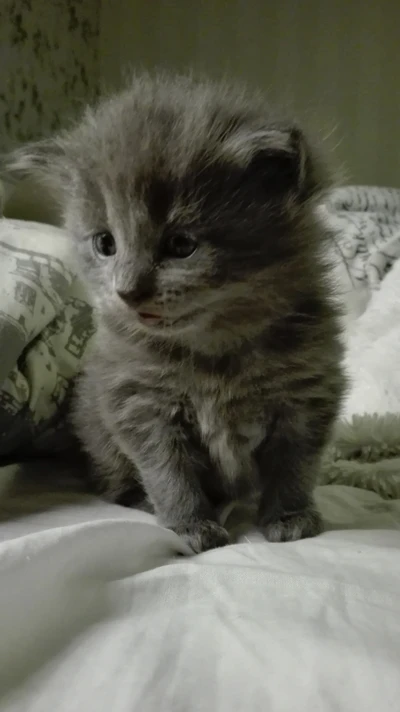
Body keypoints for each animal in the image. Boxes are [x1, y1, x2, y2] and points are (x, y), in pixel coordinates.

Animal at [6, 71, 344, 552]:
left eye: (181, 245)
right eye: (105, 243)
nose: (127, 291)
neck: (216, 353)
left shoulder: (307, 394)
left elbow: (295, 464)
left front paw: (290, 515)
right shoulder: (137, 402)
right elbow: (169, 473)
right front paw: (189, 524)